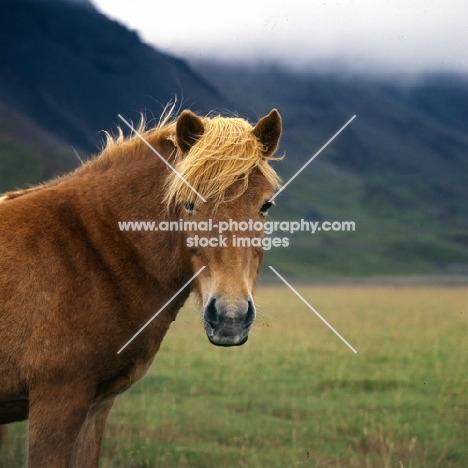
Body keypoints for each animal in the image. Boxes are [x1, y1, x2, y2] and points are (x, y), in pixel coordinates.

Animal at [0, 108, 282, 466]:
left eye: (266, 205)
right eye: (188, 203)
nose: (229, 317)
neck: (92, 249)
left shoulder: (95, 406)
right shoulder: (57, 402)